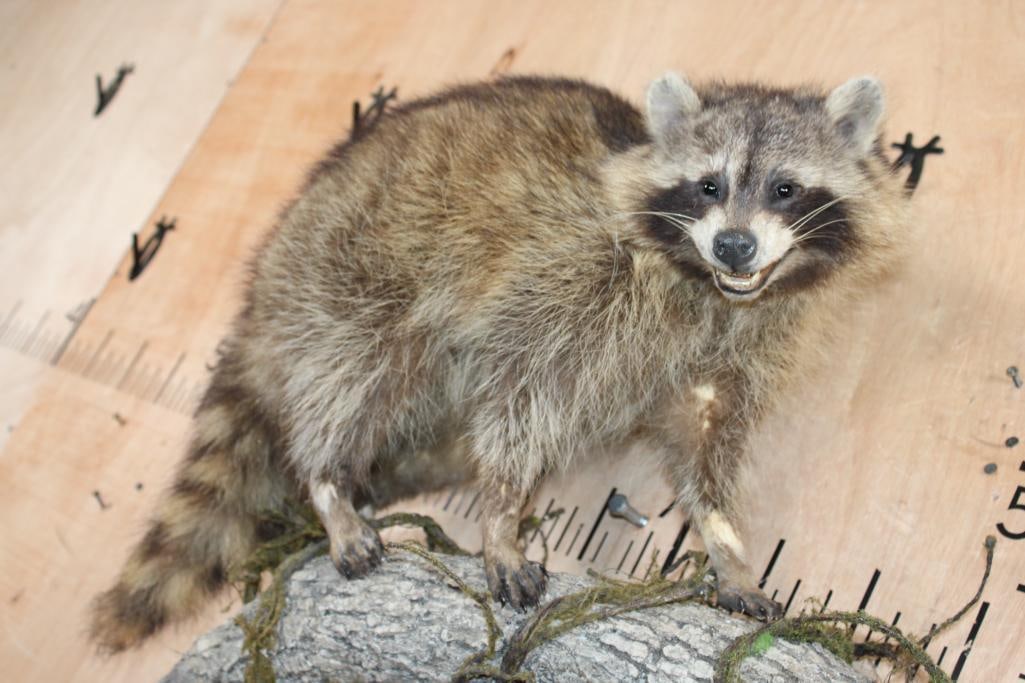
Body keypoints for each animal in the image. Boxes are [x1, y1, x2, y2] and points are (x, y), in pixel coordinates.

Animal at [90, 72, 907, 651]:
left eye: (784, 188)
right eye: (708, 185)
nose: (734, 245)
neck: (708, 288)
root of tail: (265, 280)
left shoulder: (738, 349)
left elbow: (703, 439)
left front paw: (724, 539)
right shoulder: (567, 277)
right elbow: (521, 389)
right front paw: (503, 514)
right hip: (346, 274)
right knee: (354, 378)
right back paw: (329, 483)